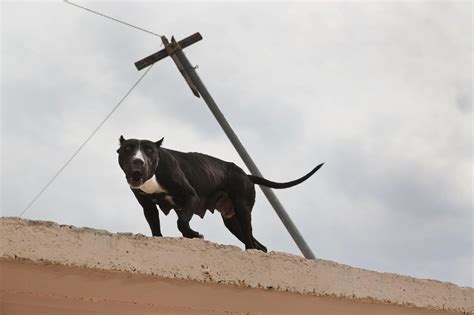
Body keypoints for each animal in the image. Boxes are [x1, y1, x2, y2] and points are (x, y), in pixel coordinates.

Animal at [115, 136, 322, 252]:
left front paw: (194, 234)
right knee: (258, 245)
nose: (138, 161)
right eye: (128, 149)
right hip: (232, 221)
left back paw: (249, 251)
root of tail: (246, 175)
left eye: (149, 150)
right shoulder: (148, 207)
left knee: (251, 241)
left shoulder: (191, 197)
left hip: (242, 211)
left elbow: (181, 222)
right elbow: (156, 228)